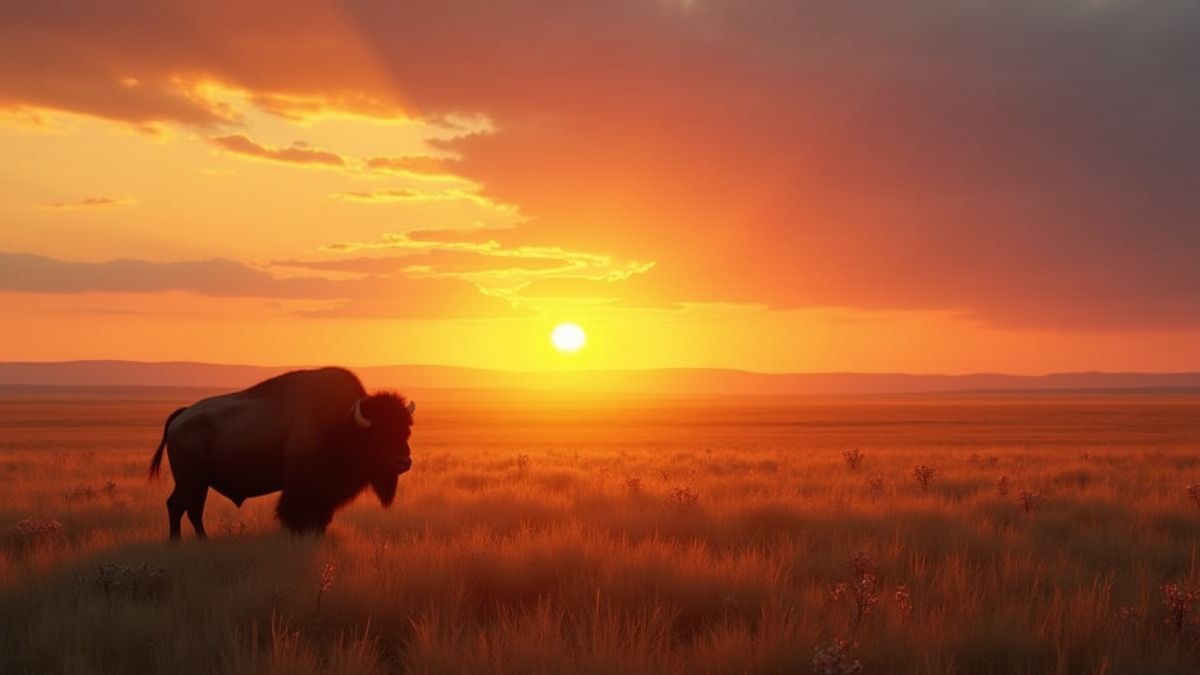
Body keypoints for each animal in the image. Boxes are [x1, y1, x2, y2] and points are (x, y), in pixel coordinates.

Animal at [148, 367, 414, 538]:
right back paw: (202, 542)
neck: (341, 421)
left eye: (406, 429)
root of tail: (182, 416)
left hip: (188, 482)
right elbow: (296, 512)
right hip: (195, 482)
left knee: (176, 506)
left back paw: (177, 542)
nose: (404, 462)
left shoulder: (325, 493)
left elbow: (320, 515)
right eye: (380, 433)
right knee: (192, 510)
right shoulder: (302, 486)